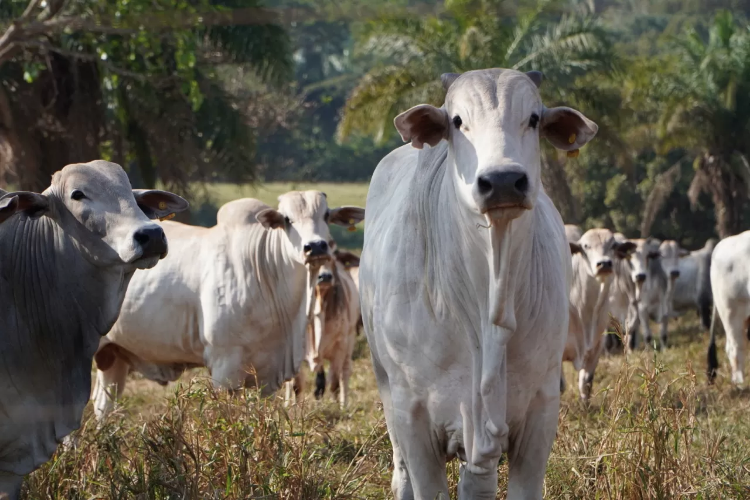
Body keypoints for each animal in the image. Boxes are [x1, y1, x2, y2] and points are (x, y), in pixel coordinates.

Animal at [93, 190, 364, 418]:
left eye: (326, 215)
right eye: (287, 219)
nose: (315, 246)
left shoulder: (267, 376)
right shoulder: (224, 370)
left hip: (114, 356)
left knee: (103, 405)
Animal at [360, 69, 600, 498]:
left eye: (533, 118)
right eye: (457, 121)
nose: (503, 180)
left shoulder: (541, 408)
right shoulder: (412, 414)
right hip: (385, 386)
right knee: (401, 474)